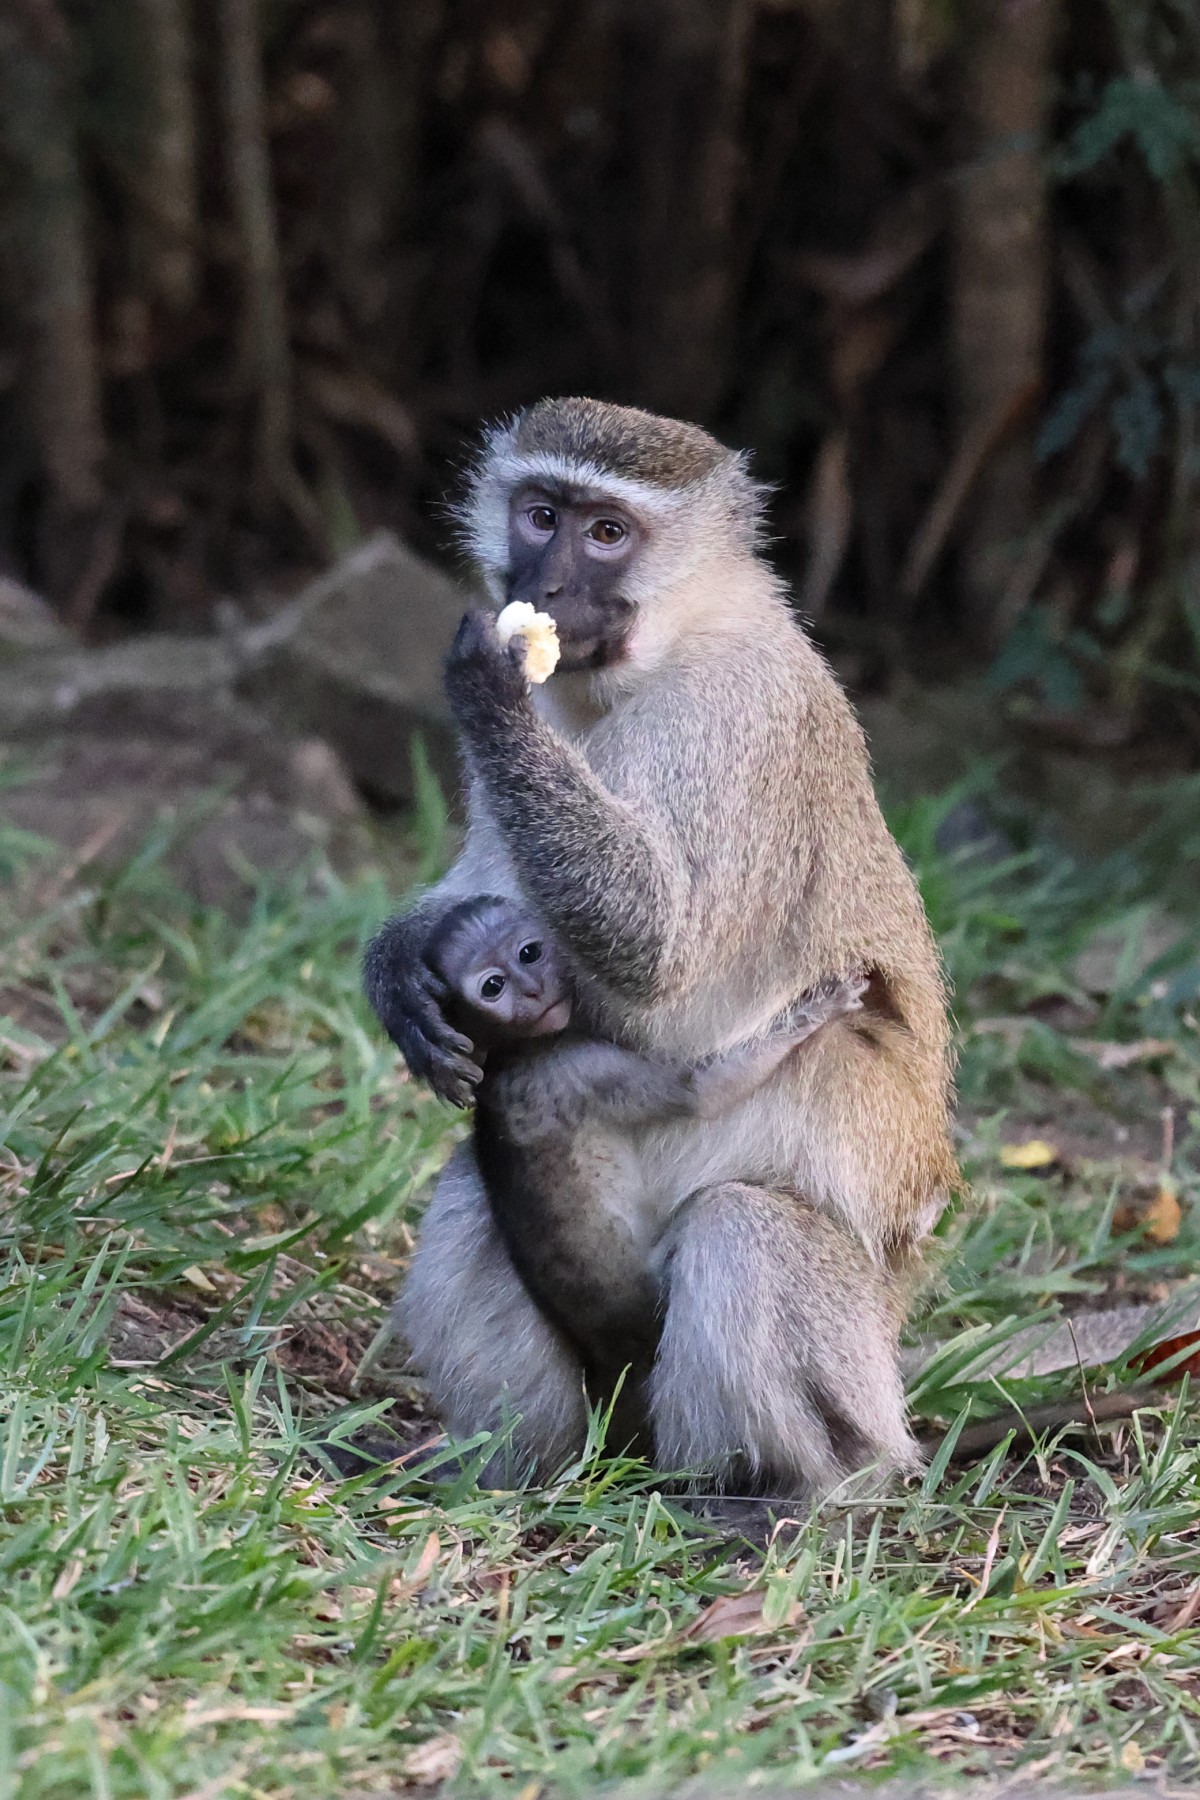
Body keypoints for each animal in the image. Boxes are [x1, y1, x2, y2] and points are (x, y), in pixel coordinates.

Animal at [423, 892, 869, 1456]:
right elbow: (700, 1093)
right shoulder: (577, 1064)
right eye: (492, 987)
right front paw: (815, 1011)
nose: (532, 989)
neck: (508, 1054)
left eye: (528, 953)